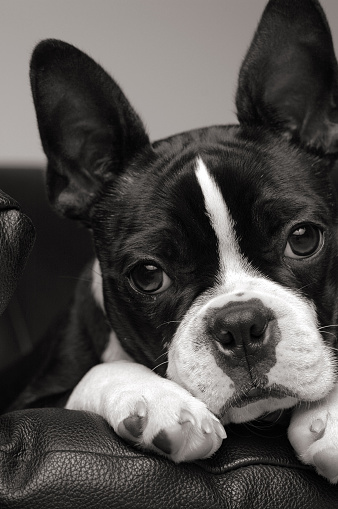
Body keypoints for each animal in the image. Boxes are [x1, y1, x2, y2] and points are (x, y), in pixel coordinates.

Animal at [15, 0, 338, 482]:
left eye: (303, 239)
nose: (239, 324)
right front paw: (155, 401)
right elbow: (101, 370)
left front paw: (332, 417)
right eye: (149, 276)